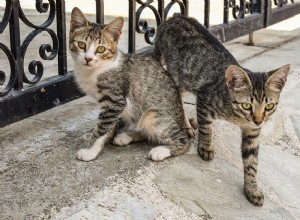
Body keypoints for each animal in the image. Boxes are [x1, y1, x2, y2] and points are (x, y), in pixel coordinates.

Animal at [69, 7, 191, 162]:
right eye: (81, 45)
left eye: (101, 49)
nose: (88, 58)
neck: (95, 69)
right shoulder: (112, 105)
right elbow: (109, 125)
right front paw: (101, 137)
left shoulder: (115, 100)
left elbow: (103, 126)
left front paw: (91, 151)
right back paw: (126, 136)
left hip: (152, 115)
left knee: (183, 139)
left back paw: (162, 150)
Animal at [154, 14, 290, 207]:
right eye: (246, 105)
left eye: (269, 107)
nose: (258, 120)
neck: (237, 117)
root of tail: (176, 17)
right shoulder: (204, 99)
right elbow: (206, 128)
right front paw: (205, 147)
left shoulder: (253, 132)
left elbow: (252, 163)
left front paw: (252, 189)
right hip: (179, 75)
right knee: (177, 96)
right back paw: (186, 125)